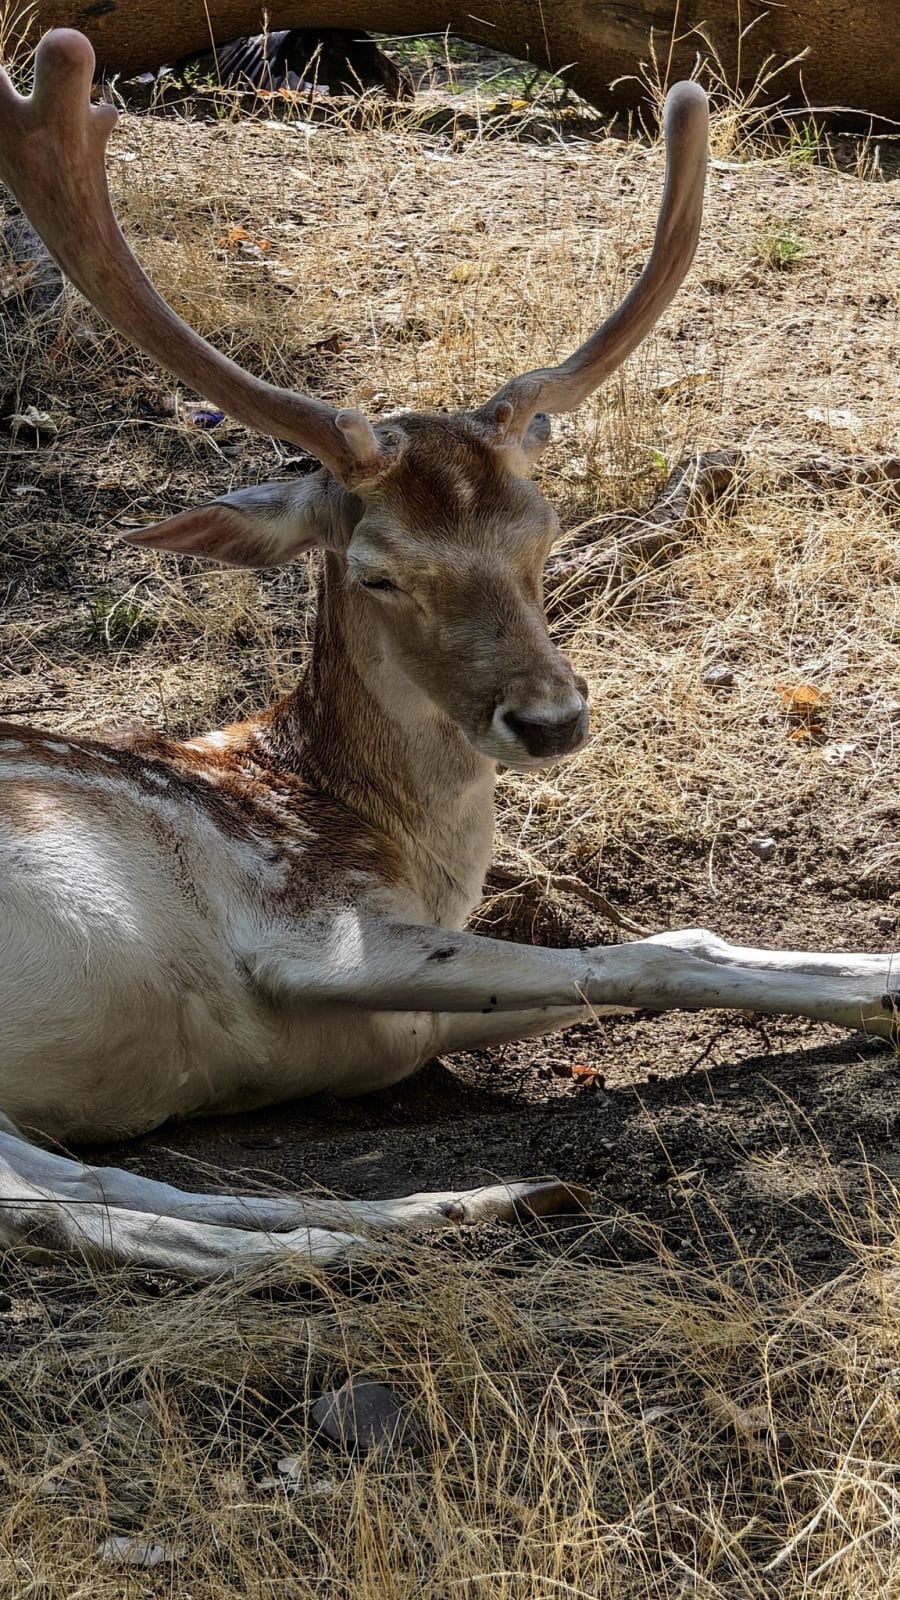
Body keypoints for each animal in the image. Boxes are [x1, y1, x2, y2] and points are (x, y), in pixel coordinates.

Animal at [0, 29, 895, 1279]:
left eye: (545, 530)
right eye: (378, 569)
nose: (551, 718)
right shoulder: (307, 924)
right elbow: (641, 954)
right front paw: (890, 991)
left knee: (74, 1181)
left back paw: (464, 1206)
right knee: (63, 1206)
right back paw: (407, 1227)